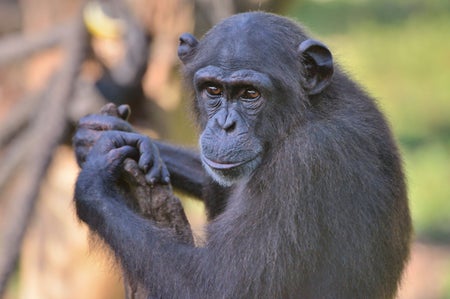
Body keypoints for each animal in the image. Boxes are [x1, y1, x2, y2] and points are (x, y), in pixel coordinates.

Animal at [73, 12, 412, 299]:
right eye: (212, 90)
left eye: (250, 94)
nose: (225, 124)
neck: (304, 112)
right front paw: (104, 133)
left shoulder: (306, 161)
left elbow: (220, 287)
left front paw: (94, 183)